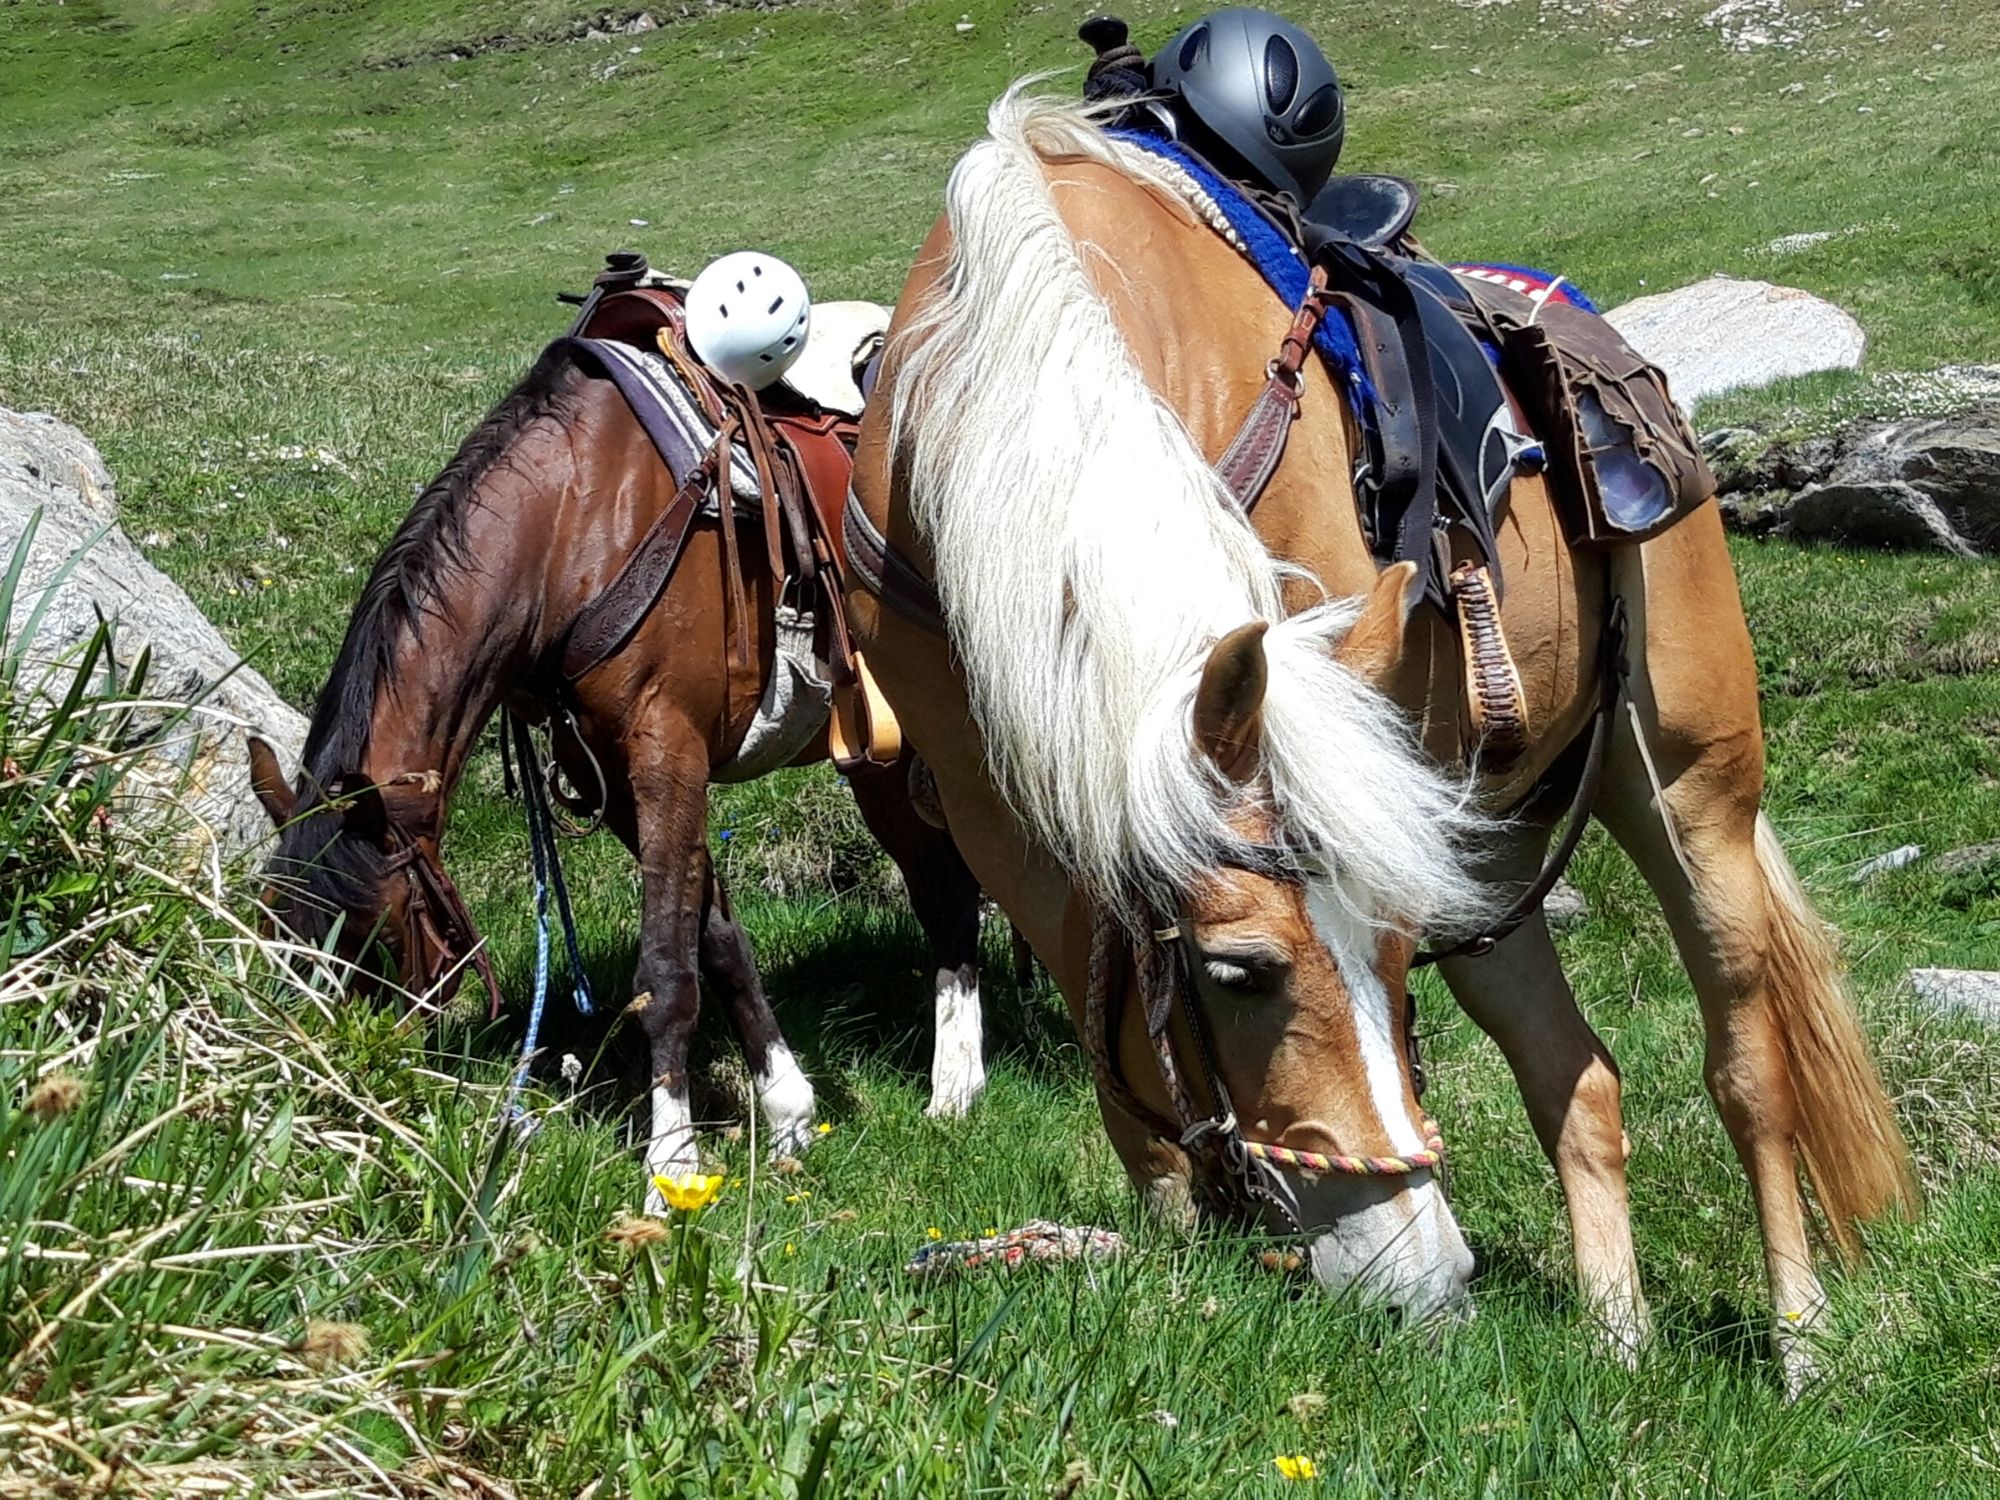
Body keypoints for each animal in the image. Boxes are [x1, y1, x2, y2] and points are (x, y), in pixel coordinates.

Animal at [252, 332, 992, 1208]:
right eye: (275, 937)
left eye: (372, 941)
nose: (339, 1091)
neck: (572, 522)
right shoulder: (610, 771)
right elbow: (717, 939)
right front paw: (787, 1111)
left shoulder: (667, 751)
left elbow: (666, 972)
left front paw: (673, 1167)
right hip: (881, 760)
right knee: (945, 882)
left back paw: (961, 1085)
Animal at [852, 91, 1912, 1384]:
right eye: (1239, 971)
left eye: (1400, 954)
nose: (1423, 1284)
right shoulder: (991, 807)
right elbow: (1102, 1001)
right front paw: (1172, 1233)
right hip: (1489, 847)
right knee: (1576, 1076)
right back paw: (1616, 1344)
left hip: (1687, 792)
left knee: (1747, 1068)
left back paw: (1800, 1339)